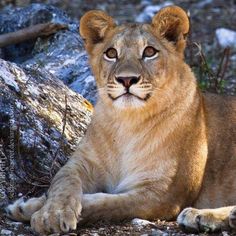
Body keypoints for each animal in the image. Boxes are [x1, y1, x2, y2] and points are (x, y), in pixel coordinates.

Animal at [6, 5, 236, 234]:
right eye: (111, 53)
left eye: (149, 52)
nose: (126, 79)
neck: (127, 122)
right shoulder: (80, 163)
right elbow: (62, 182)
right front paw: (45, 211)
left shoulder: (163, 194)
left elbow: (105, 202)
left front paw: (40, 211)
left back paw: (199, 216)